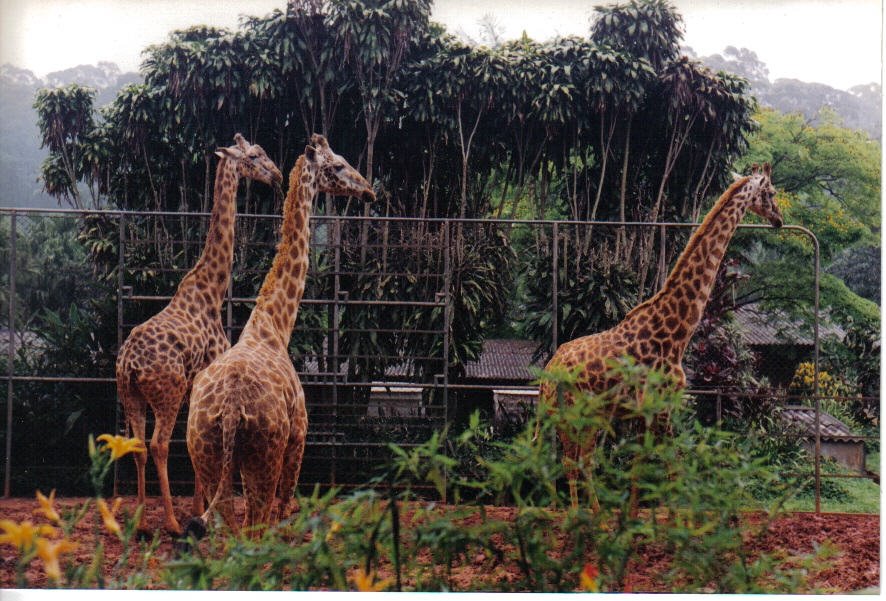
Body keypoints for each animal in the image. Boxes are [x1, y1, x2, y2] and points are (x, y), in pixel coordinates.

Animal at [114, 134, 280, 532]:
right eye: (255, 156)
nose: (277, 174)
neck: (212, 291)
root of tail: (129, 365)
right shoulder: (199, 377)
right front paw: (197, 510)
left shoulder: (195, 384)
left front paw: (198, 507)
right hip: (166, 391)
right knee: (158, 444)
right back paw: (172, 522)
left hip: (130, 394)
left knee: (138, 445)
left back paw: (141, 521)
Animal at [186, 134, 376, 536]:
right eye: (338, 165)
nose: (368, 190)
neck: (273, 326)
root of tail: (230, 411)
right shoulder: (299, 439)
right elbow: (285, 513)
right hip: (265, 457)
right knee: (255, 526)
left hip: (205, 452)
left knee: (225, 527)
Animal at [540, 163, 784, 506]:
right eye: (771, 193)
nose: (779, 219)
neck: (677, 332)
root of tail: (547, 374)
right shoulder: (660, 406)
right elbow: (670, 466)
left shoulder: (651, 409)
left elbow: (641, 466)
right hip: (572, 414)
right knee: (568, 461)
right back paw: (575, 514)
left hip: (591, 415)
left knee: (579, 461)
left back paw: (594, 513)